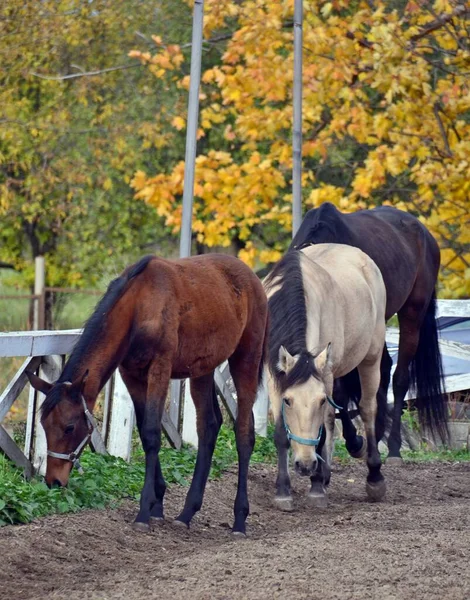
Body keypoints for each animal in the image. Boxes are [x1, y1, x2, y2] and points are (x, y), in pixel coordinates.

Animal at [26, 253, 268, 536]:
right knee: (208, 425)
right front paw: (158, 503)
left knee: (244, 433)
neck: (139, 307)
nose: (53, 480)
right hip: (203, 369)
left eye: (69, 427)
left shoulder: (159, 369)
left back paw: (239, 519)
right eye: (44, 425)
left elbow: (152, 432)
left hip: (246, 360)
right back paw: (187, 512)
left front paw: (144, 510)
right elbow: (144, 431)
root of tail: (251, 277)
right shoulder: (131, 375)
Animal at [264, 241, 390, 508]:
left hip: (370, 358)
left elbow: (324, 425)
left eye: (320, 401)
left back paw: (373, 477)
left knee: (367, 409)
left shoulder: (327, 376)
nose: (305, 465)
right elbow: (281, 433)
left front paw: (316, 487)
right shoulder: (274, 376)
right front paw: (283, 491)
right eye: (288, 401)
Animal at [290, 202, 448, 460]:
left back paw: (393, 447)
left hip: (411, 314)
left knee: (400, 377)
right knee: (382, 369)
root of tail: (424, 234)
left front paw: (354, 442)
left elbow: (341, 392)